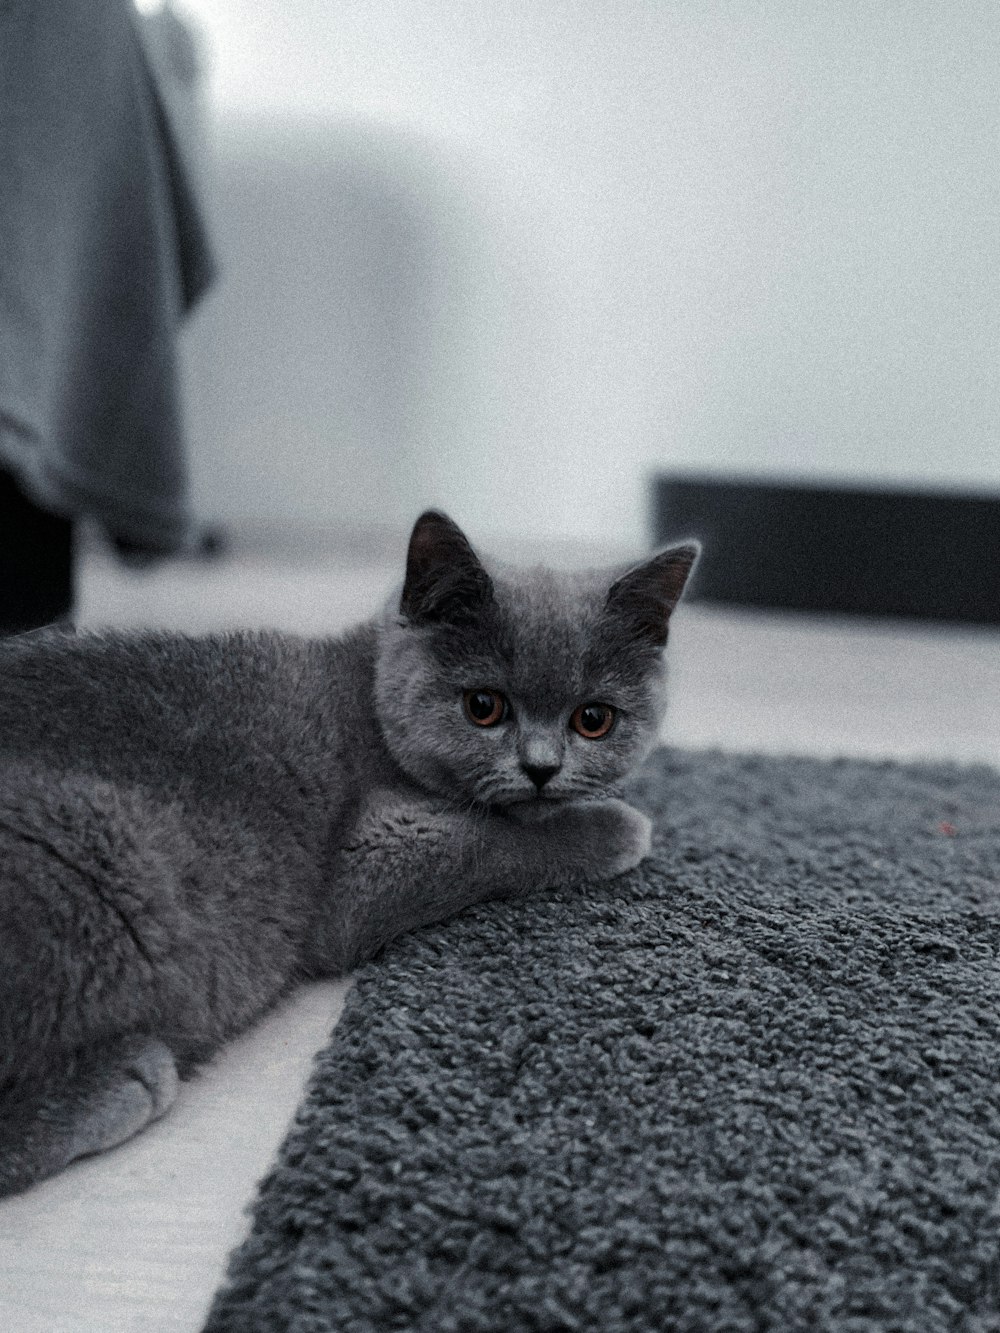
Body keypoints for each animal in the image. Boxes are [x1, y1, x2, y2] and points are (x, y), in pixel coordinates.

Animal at [0, 511, 698, 1199]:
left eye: (593, 720)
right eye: (483, 707)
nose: (542, 769)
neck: (366, 696)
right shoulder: (361, 866)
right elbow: (495, 840)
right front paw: (620, 827)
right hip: (91, 842)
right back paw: (130, 1077)